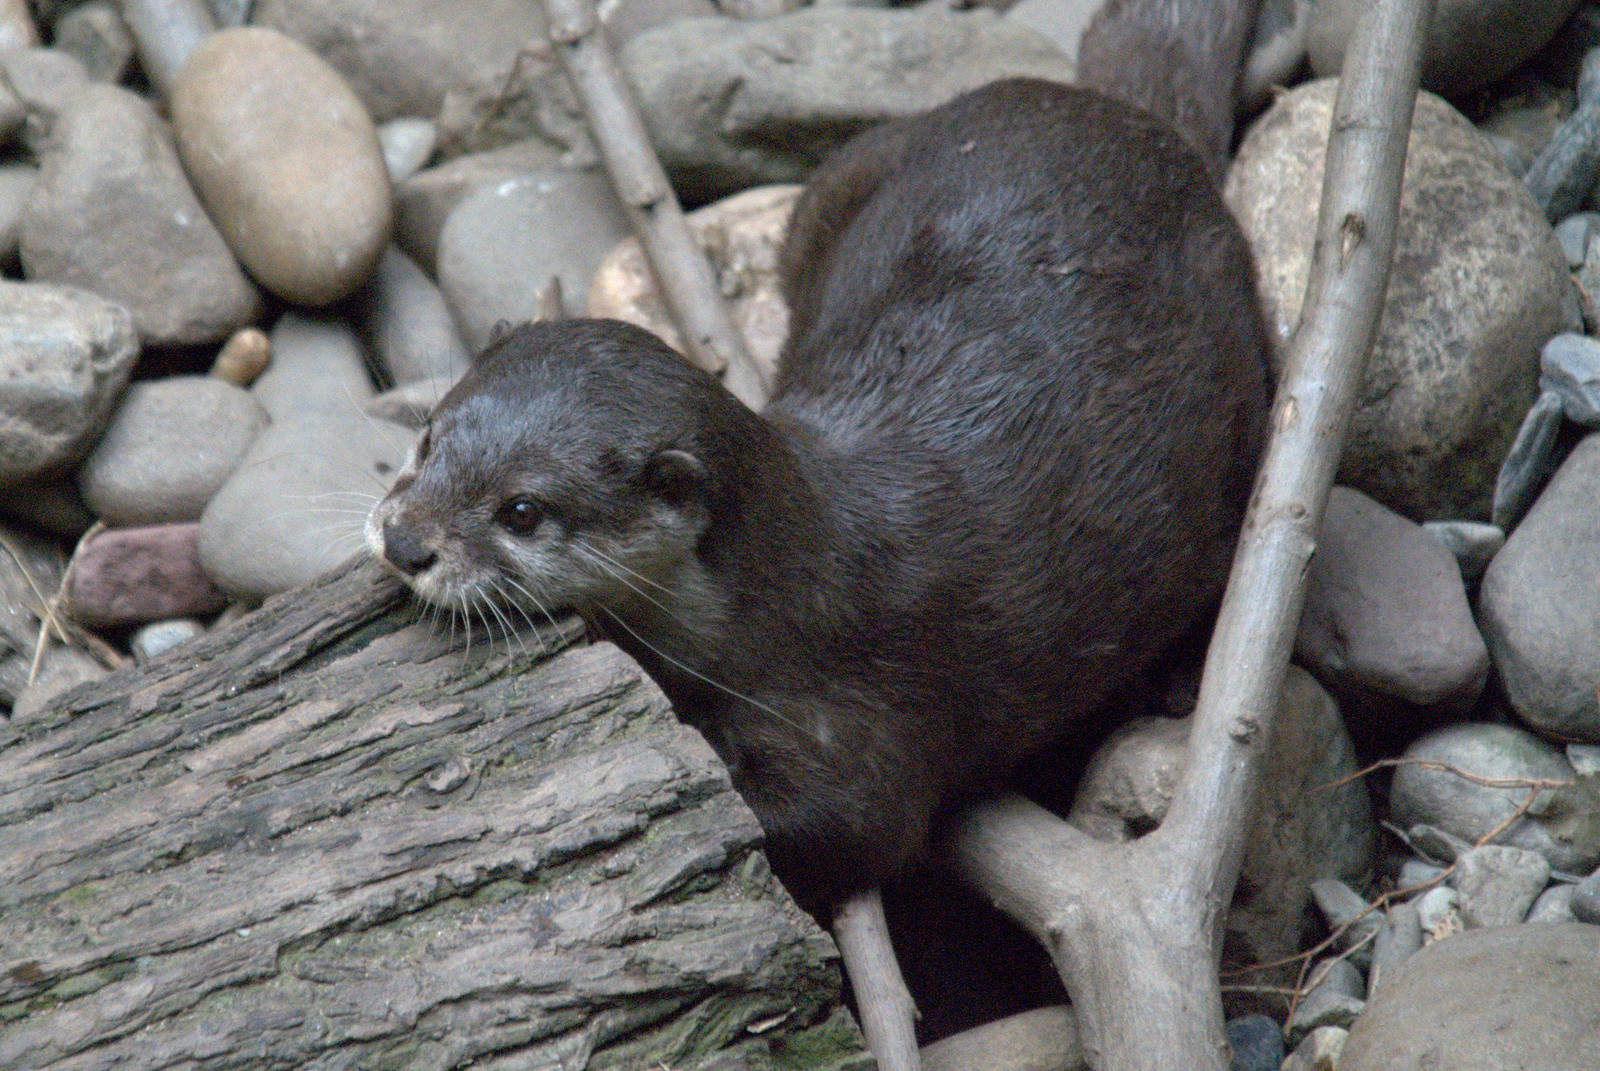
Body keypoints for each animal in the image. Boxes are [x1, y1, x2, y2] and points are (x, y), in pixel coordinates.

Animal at [368, 76, 1270, 909]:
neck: (780, 605)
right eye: (428, 439)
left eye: (521, 511)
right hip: (852, 171)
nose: (405, 541)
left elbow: (844, 828)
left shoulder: (866, 721)